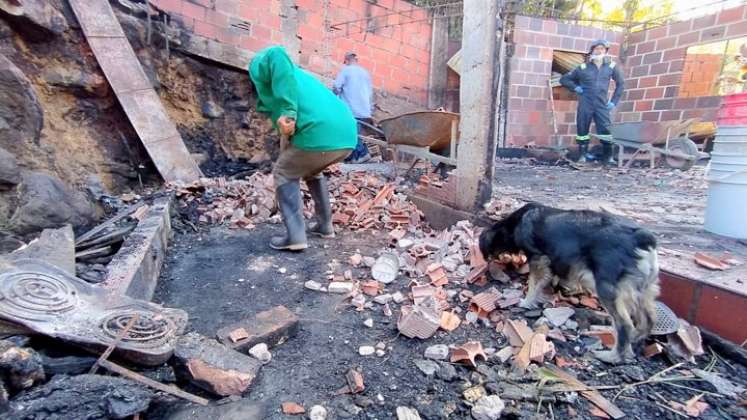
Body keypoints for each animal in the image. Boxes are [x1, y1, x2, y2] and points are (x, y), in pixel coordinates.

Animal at [480, 202, 660, 362]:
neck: (516, 222)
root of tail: (642, 238)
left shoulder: (537, 257)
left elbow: (534, 283)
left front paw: (526, 301)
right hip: (643, 289)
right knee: (649, 318)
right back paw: (635, 339)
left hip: (607, 288)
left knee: (624, 324)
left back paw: (612, 356)